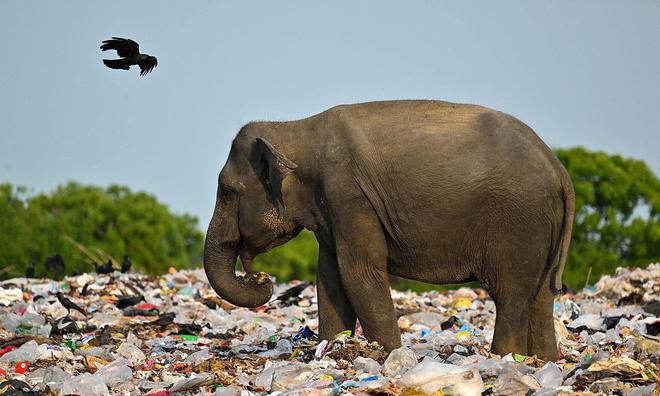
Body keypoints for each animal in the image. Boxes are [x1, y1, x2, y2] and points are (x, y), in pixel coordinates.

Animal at [205, 99, 572, 358]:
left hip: (520, 223)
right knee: (540, 296)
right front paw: (332, 350)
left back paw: (503, 359)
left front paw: (388, 357)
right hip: (542, 227)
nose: (261, 278)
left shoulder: (349, 195)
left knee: (510, 295)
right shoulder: (333, 209)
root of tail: (558, 168)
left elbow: (359, 272)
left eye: (227, 192)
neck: (298, 130)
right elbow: (329, 276)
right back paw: (543, 362)